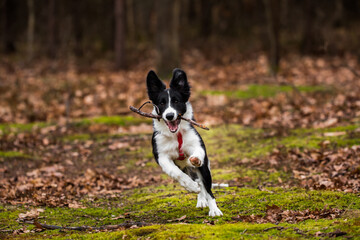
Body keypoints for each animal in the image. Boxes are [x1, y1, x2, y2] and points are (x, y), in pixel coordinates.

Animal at [146, 68, 222, 218]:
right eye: (162, 103)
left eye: (176, 101)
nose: (170, 116)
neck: (176, 134)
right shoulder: (161, 156)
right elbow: (175, 172)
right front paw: (191, 186)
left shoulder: (197, 145)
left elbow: (198, 155)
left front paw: (214, 209)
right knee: (196, 181)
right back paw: (199, 195)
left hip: (205, 169)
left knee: (206, 185)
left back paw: (210, 205)